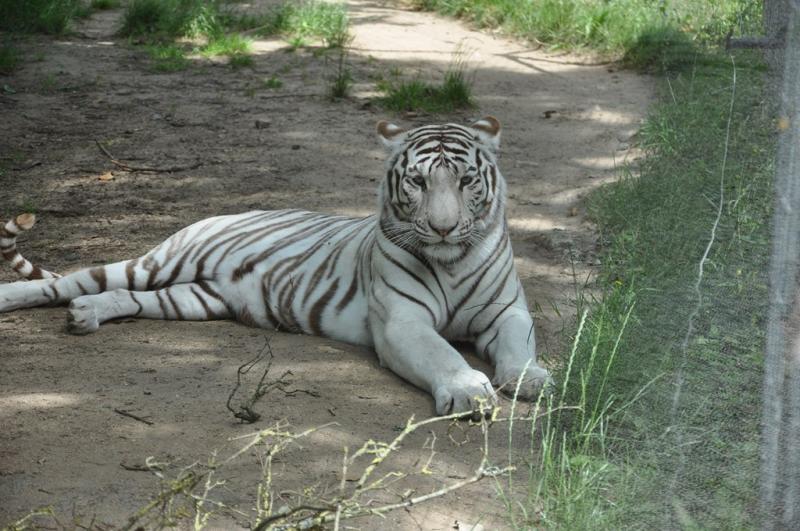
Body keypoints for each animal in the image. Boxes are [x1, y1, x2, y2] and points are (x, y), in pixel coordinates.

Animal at [0, 116, 551, 415]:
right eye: (417, 182)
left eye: (465, 181)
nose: (441, 228)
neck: (451, 259)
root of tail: (229, 212)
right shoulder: (403, 321)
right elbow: (443, 354)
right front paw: (467, 392)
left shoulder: (507, 312)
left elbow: (519, 346)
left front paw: (533, 379)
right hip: (160, 263)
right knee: (74, 280)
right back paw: (30, 300)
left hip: (194, 298)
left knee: (123, 297)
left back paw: (86, 315)